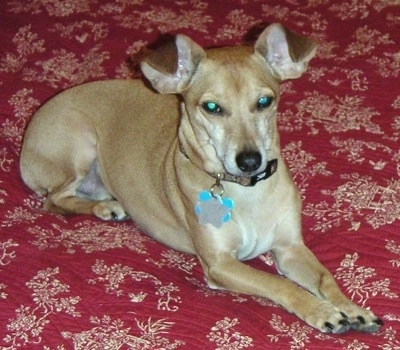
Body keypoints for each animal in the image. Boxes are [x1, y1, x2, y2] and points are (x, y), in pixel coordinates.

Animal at [20, 22, 382, 334]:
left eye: (265, 101)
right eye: (211, 107)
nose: (250, 160)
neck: (246, 192)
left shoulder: (291, 248)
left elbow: (325, 278)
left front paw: (352, 308)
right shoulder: (220, 263)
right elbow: (278, 283)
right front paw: (322, 312)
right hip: (80, 144)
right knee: (53, 201)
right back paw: (107, 208)